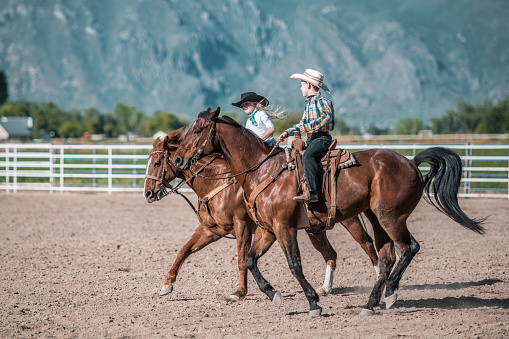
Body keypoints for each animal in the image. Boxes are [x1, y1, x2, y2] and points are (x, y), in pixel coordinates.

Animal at [143, 129, 378, 300]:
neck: (219, 181)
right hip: (316, 229)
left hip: (349, 219)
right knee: (330, 254)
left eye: (157, 163)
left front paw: (239, 293)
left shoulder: (242, 226)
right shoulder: (213, 228)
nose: (148, 193)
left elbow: (240, 259)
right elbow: (185, 250)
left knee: (368, 244)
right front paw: (166, 285)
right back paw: (325, 288)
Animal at [172, 107, 484, 318]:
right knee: (386, 257)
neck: (262, 170)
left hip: (390, 217)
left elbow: (294, 265)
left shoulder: (284, 228)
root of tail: (411, 161)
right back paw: (371, 303)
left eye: (198, 130)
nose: (178, 159)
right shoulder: (268, 229)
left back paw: (391, 293)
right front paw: (274, 295)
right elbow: (250, 260)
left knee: (409, 248)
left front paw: (313, 302)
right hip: (376, 218)